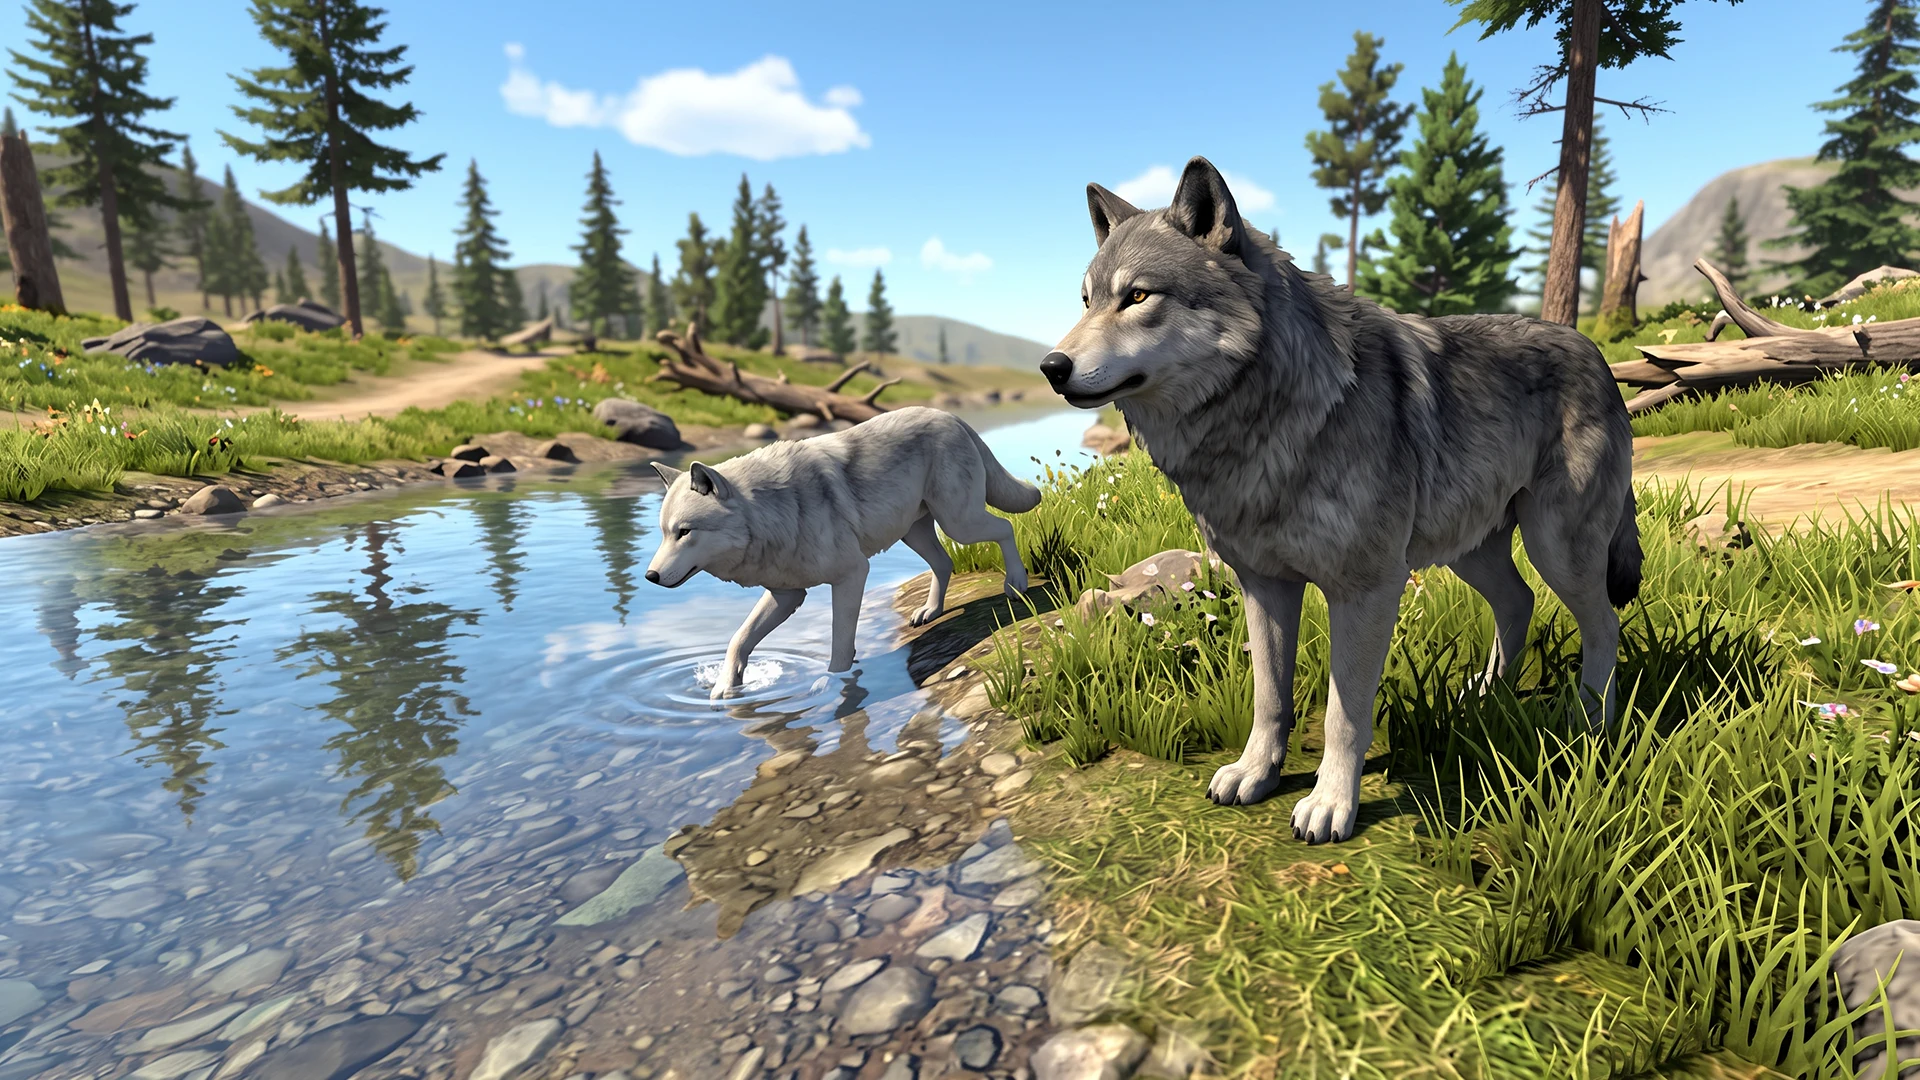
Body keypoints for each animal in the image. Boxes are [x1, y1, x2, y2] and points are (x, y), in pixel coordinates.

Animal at [644, 406, 1042, 699]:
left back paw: (1016, 584)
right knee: (944, 562)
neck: (771, 511)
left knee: (1005, 528)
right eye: (664, 534)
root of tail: (952, 416)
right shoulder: (787, 595)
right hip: (915, 533)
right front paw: (727, 687)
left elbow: (839, 640)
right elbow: (738, 639)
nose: (650, 576)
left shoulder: (852, 574)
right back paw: (931, 611)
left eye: (684, 532)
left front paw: (834, 684)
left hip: (959, 523)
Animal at [1041, 157, 1641, 844]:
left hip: (1555, 549)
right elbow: (1269, 697)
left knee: (1604, 624)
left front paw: (1331, 805)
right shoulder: (1264, 586)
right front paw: (1256, 773)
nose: (1051, 367)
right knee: (1518, 604)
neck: (1268, 422)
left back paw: (1590, 722)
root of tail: (1597, 354)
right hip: (1470, 551)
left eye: (1137, 297)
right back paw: (1484, 696)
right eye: (1086, 302)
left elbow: (1342, 713)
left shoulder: (1366, 589)